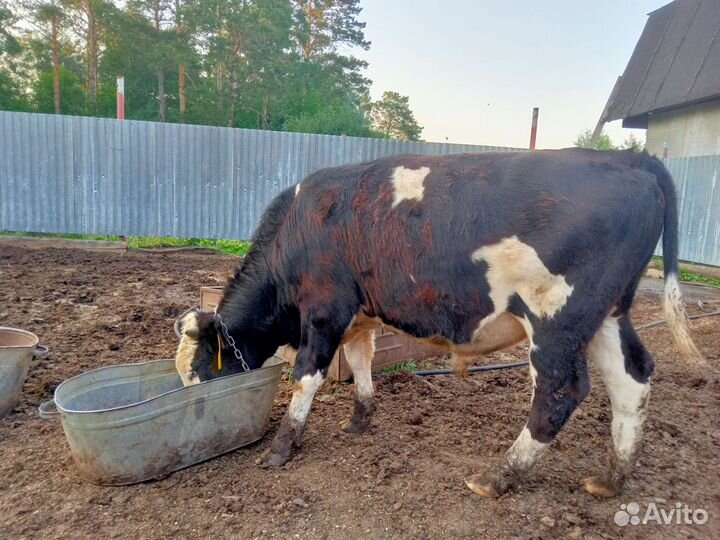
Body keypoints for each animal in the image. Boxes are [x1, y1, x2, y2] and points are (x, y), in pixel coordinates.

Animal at [175, 148, 699, 498]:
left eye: (198, 371)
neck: (297, 228)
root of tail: (629, 159)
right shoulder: (360, 315)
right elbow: (361, 362)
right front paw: (360, 419)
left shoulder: (325, 310)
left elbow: (307, 376)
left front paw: (282, 446)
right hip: (608, 315)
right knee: (632, 378)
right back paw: (612, 477)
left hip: (555, 318)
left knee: (559, 392)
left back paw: (499, 475)